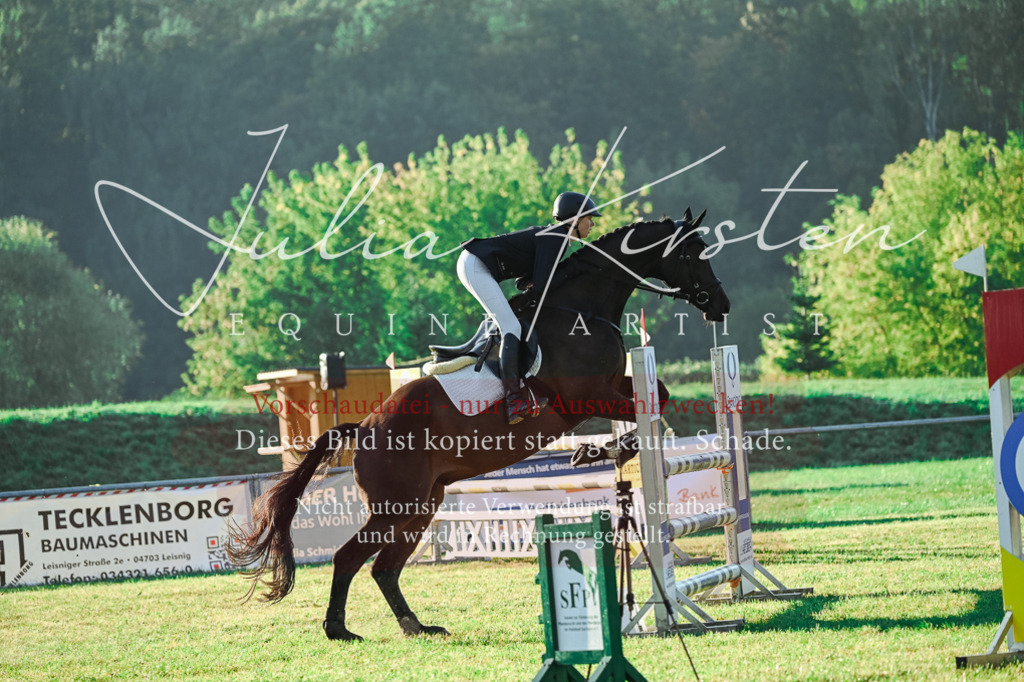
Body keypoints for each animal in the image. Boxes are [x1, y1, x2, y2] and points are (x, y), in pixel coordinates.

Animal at [228, 209, 730, 641]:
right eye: (692, 252)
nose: (720, 304)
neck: (580, 310)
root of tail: (364, 427)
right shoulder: (586, 395)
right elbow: (651, 401)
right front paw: (604, 450)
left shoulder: (612, 384)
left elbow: (659, 391)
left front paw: (600, 449)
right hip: (394, 504)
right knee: (349, 556)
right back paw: (339, 629)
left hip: (421, 505)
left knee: (384, 567)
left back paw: (417, 626)